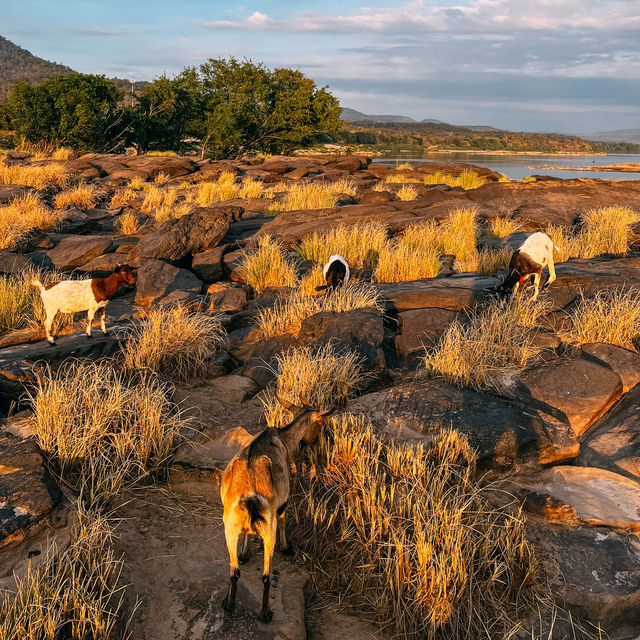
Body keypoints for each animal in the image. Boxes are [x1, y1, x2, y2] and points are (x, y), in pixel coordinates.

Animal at [221, 398, 332, 624]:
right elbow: (283, 521)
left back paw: (228, 603)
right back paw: (266, 613)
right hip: (268, 531)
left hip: (229, 527)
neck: (282, 438)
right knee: (265, 576)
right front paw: (287, 547)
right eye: (320, 424)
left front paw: (244, 553)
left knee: (234, 570)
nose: (313, 442)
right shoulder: (282, 503)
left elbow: (246, 537)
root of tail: (249, 497)